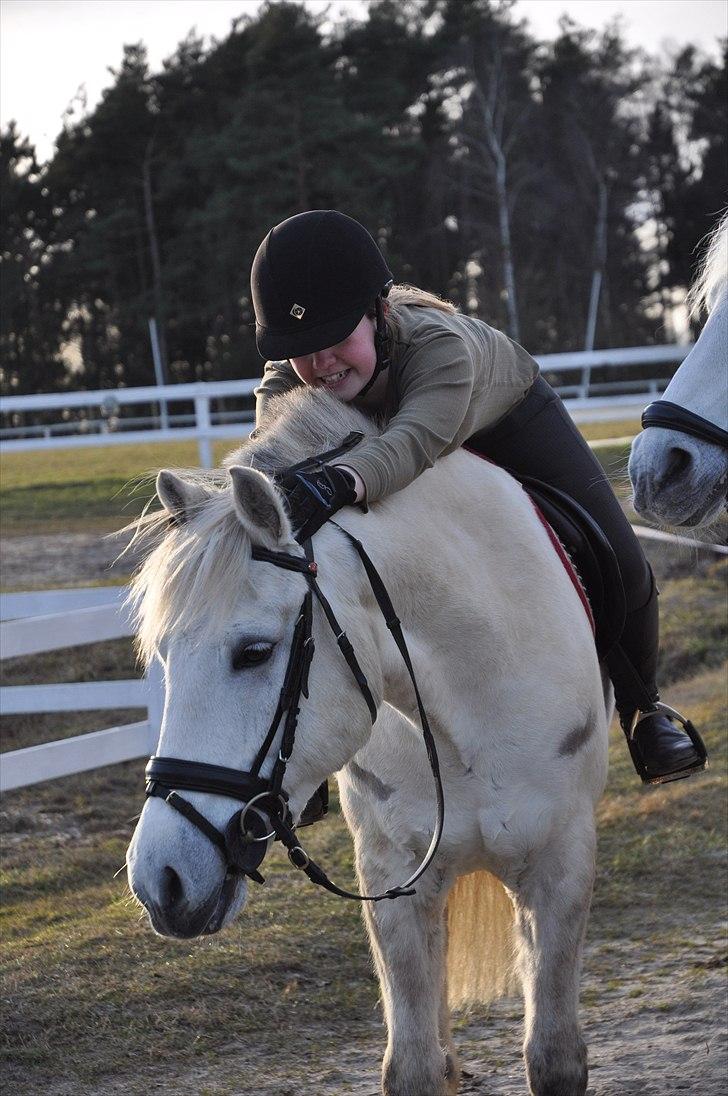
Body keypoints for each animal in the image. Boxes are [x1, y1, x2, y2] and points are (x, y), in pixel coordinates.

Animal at [124, 387, 609, 1096]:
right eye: (161, 657)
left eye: (254, 651)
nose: (160, 879)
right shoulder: (394, 881)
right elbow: (412, 1067)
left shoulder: (561, 865)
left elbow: (553, 1059)